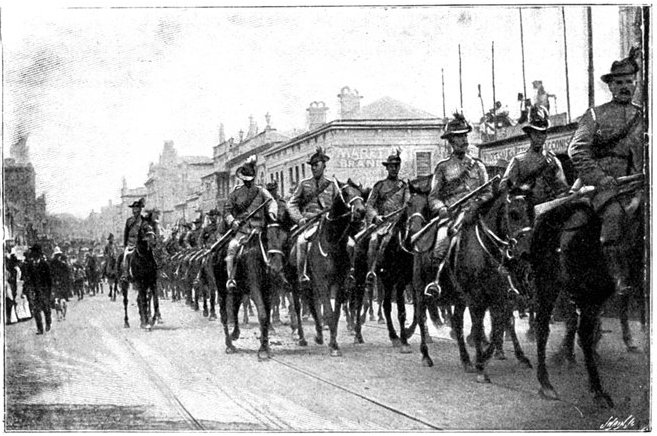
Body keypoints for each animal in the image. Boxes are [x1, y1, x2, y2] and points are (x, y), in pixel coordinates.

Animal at [407, 180, 534, 381]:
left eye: (531, 211)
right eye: (513, 213)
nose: (526, 252)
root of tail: (421, 236)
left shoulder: (500, 298)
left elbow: (499, 328)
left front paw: (483, 359)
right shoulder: (476, 299)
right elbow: (479, 325)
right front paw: (481, 364)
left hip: (459, 298)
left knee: (458, 323)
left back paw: (466, 360)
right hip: (420, 291)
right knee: (421, 317)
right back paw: (426, 355)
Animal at [530, 195, 644, 408]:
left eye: (629, 241)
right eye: (605, 243)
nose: (623, 284)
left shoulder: (596, 298)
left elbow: (586, 331)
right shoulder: (587, 297)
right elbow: (583, 333)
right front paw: (598, 390)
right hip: (547, 284)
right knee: (543, 326)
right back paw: (547, 383)